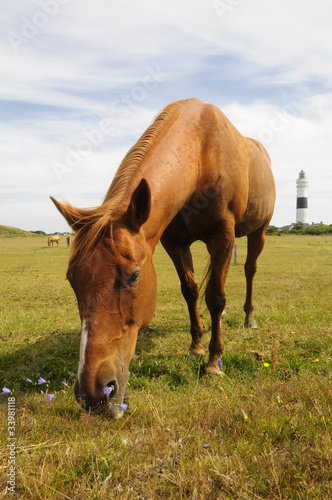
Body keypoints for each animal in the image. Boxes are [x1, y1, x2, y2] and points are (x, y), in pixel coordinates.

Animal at [50, 97, 276, 418]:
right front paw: (196, 344)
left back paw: (249, 318)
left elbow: (215, 297)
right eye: (72, 280)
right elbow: (190, 290)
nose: (94, 393)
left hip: (259, 232)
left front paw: (212, 364)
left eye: (134, 276)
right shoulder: (174, 241)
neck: (202, 152)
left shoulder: (223, 236)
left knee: (249, 270)